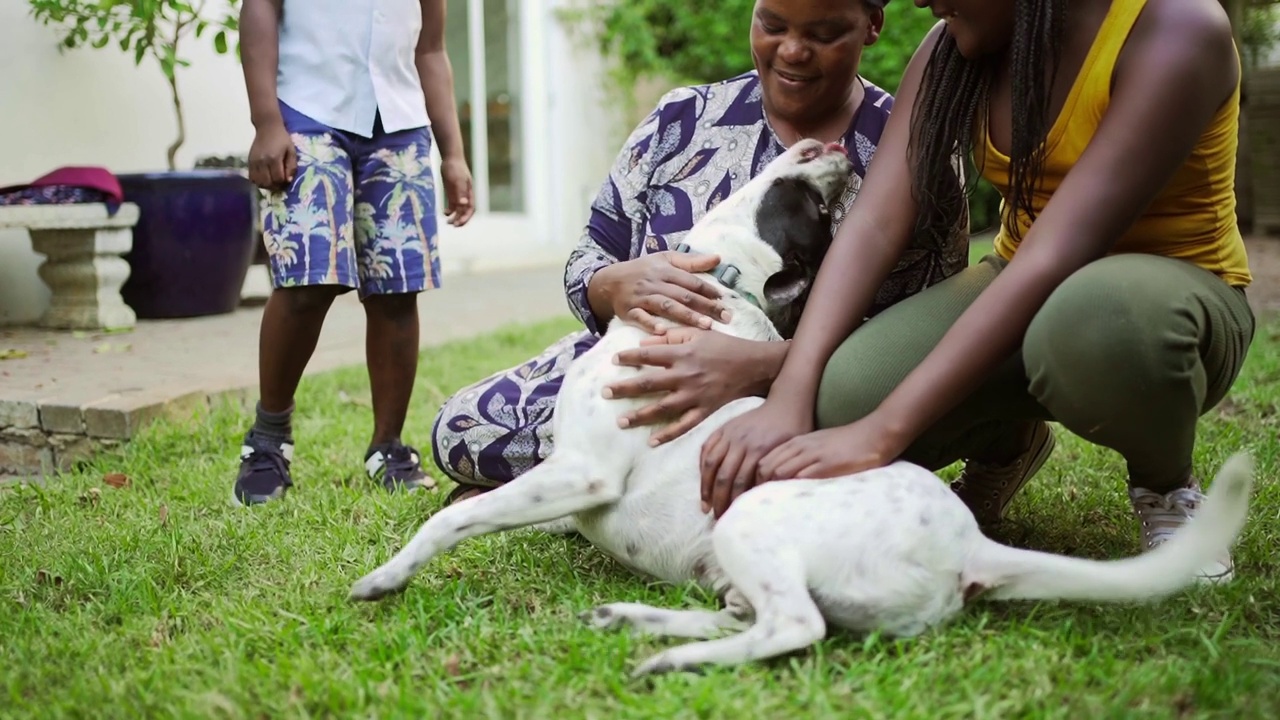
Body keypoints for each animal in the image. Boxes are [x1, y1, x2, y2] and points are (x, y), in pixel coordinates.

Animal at [345, 139, 1254, 676]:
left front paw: (386, 576)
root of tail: (970, 547)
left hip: (754, 518)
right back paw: (637, 621)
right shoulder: (562, 487)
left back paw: (665, 659)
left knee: (793, 628)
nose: (840, 156)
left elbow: (454, 518)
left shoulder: (583, 474)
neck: (720, 295)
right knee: (747, 615)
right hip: (733, 557)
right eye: (806, 200)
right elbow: (487, 510)